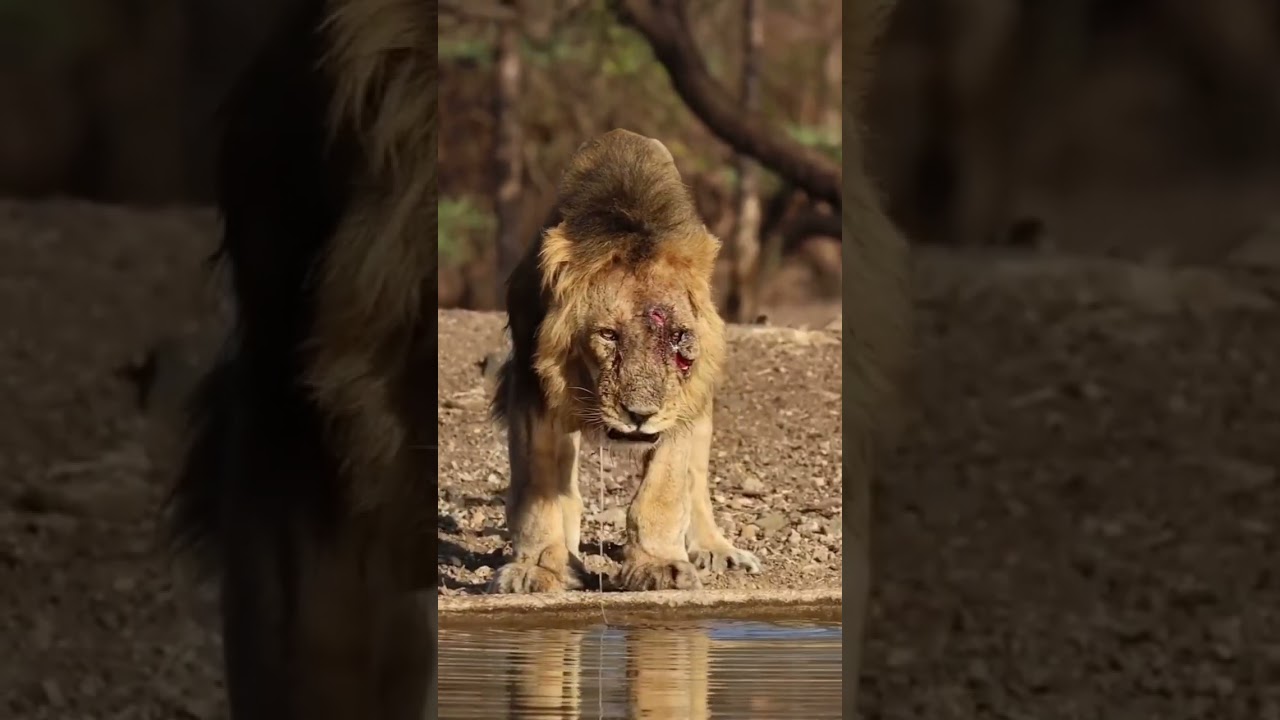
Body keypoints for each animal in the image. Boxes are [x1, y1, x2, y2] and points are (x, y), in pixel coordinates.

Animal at [488, 128, 760, 594]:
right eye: (608, 335)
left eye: (678, 336)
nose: (639, 415)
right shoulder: (530, 381)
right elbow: (537, 488)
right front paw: (539, 567)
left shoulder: (679, 401)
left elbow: (665, 488)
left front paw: (659, 565)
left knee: (696, 478)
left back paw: (715, 548)